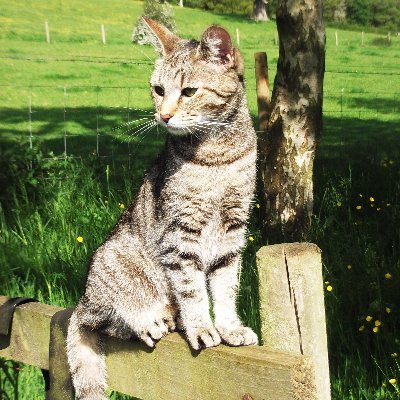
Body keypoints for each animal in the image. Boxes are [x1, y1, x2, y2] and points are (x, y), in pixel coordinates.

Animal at [67, 17, 258, 398]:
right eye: (157, 89)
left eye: (189, 92)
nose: (164, 116)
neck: (218, 157)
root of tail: (82, 299)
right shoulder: (179, 234)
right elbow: (192, 289)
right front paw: (201, 327)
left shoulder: (233, 229)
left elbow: (226, 287)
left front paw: (229, 327)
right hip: (112, 260)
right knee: (102, 321)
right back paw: (151, 319)